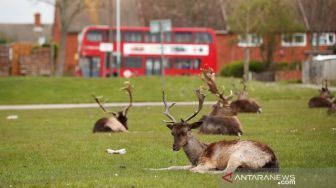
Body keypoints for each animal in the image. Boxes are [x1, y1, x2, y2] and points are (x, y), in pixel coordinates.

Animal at [151, 89, 280, 174]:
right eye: (172, 133)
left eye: (184, 132)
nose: (174, 147)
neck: (197, 157)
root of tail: (272, 159)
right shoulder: (192, 164)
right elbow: (172, 166)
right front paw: (151, 169)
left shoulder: (207, 162)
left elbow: (192, 170)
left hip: (238, 155)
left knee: (226, 171)